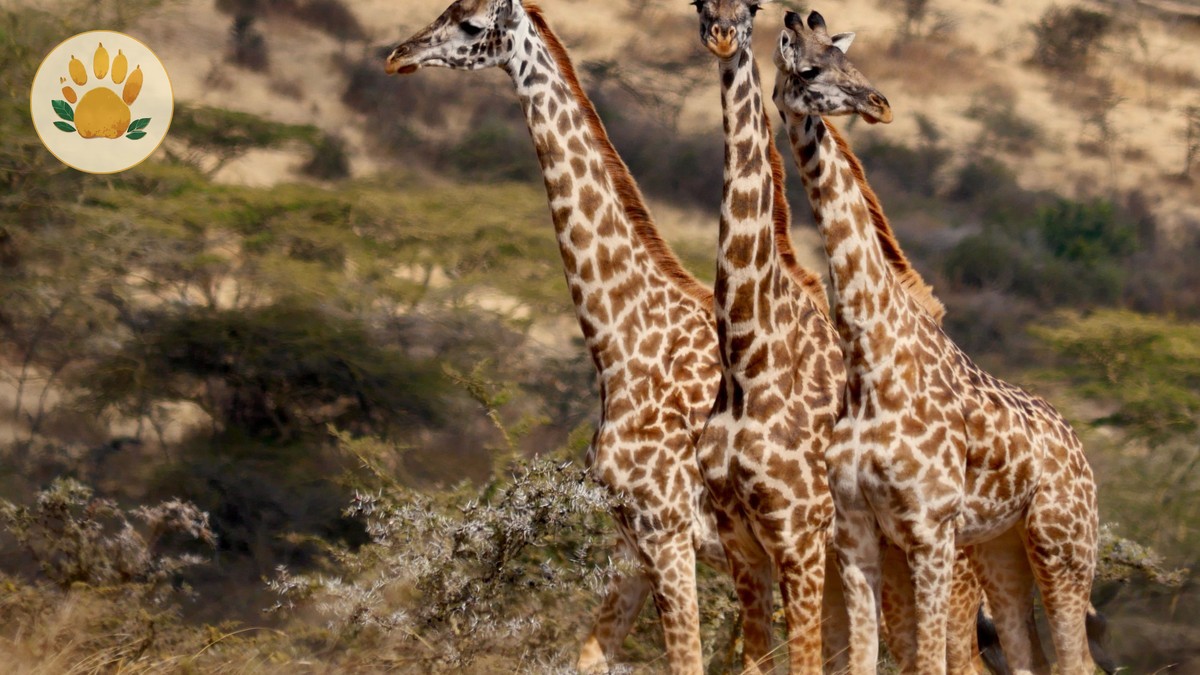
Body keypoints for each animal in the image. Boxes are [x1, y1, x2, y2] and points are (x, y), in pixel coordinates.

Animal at [386, 2, 728, 672]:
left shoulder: (670, 532)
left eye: (470, 23)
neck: (623, 347)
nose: (397, 56)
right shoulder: (632, 538)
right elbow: (589, 655)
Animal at [771, 10, 1100, 675]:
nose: (880, 103)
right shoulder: (856, 531)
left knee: (1076, 660)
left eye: (849, 58)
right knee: (1030, 658)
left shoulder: (928, 529)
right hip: (1004, 549)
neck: (870, 359)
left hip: (1062, 545)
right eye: (811, 68)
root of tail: (1081, 455)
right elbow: (863, 660)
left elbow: (926, 661)